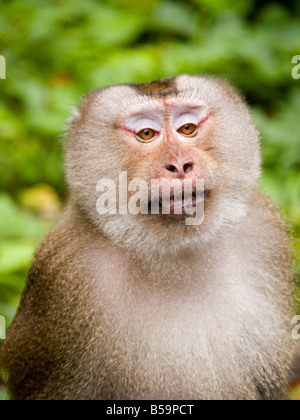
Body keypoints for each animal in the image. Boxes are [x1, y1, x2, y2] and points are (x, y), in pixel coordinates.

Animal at [0, 75, 296, 400]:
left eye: (188, 128)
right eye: (146, 134)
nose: (180, 165)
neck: (176, 254)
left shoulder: (262, 231)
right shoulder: (66, 277)